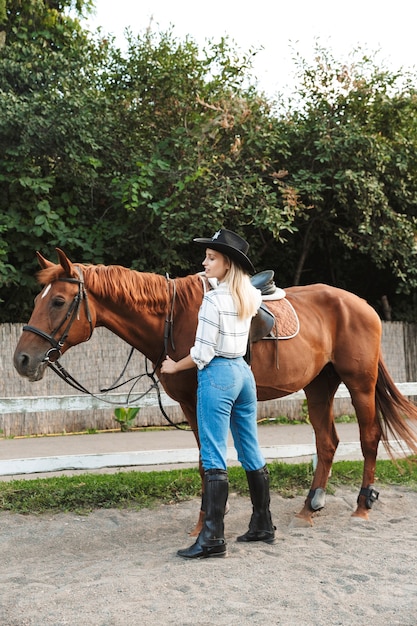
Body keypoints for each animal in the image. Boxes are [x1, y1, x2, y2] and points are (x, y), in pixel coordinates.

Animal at [13, 246, 417, 528]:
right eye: (37, 299)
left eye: (59, 301)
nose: (22, 360)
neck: (175, 318)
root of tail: (361, 304)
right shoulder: (190, 406)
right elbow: (203, 462)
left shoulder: (204, 401)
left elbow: (209, 461)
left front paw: (205, 524)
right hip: (319, 385)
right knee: (327, 441)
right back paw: (309, 507)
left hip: (359, 382)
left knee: (369, 437)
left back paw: (363, 505)